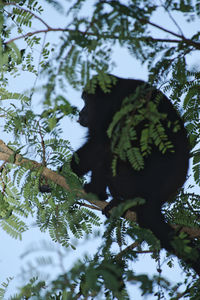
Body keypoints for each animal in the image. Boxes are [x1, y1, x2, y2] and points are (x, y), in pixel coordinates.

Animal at [70, 74, 200, 274]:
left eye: (87, 101)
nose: (80, 113)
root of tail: (153, 197)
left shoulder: (118, 109)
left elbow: (100, 145)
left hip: (129, 179)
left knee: (111, 153)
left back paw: (105, 194)